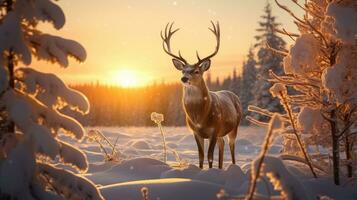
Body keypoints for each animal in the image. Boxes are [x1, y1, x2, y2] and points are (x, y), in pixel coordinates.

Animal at [161, 21, 242, 169]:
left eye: (196, 71)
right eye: (183, 71)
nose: (184, 79)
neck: (200, 118)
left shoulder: (214, 129)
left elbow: (210, 156)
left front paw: (210, 172)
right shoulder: (196, 132)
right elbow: (201, 156)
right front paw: (201, 170)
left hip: (235, 126)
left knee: (232, 146)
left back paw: (233, 166)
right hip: (222, 132)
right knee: (222, 145)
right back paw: (220, 167)